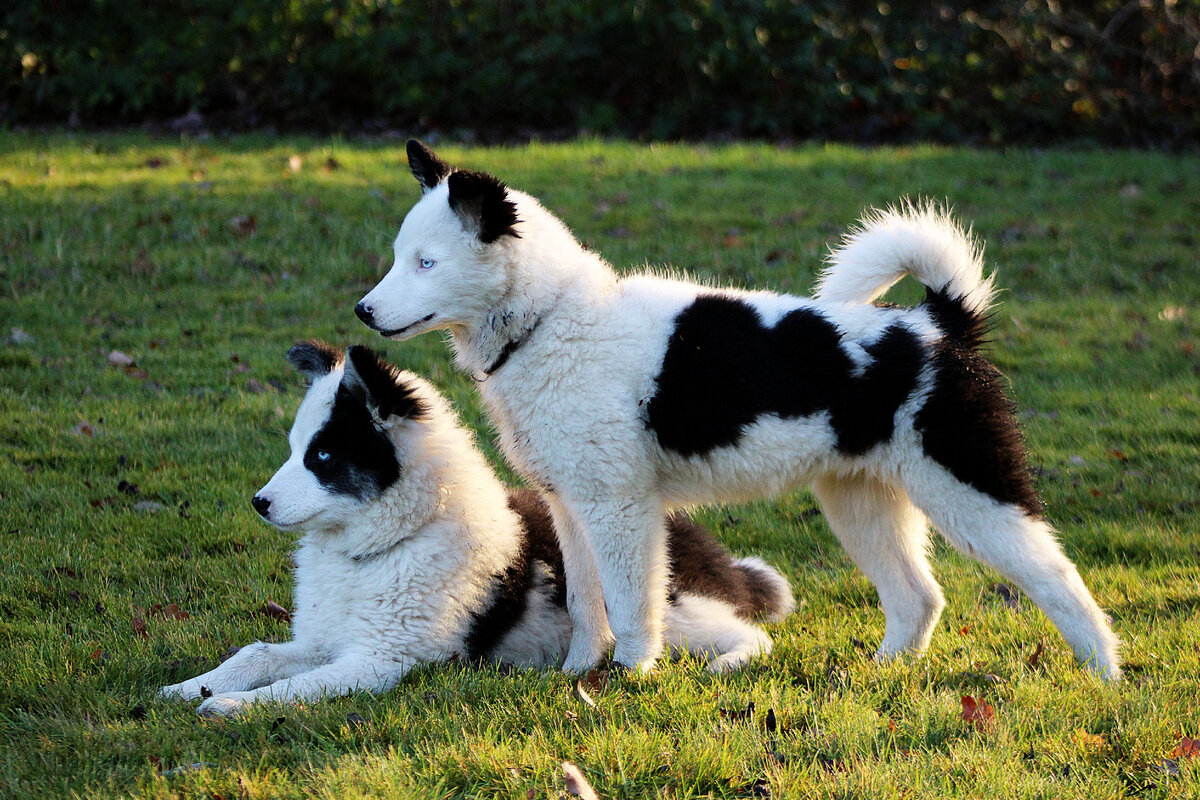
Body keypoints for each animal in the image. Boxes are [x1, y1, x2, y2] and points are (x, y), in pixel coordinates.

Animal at [159, 340, 796, 714]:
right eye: (297, 450)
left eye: (323, 456)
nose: (259, 503)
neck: (396, 541)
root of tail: (706, 549)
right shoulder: (323, 640)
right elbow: (255, 654)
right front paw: (191, 688)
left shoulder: (383, 659)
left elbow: (298, 688)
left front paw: (230, 708)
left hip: (677, 612)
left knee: (749, 633)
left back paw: (728, 662)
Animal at [352, 140, 1123, 681]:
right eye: (401, 256)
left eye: (425, 262)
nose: (362, 311)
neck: (551, 319)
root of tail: (938, 325)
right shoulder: (571, 505)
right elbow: (585, 604)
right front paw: (575, 675)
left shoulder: (620, 507)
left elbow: (631, 602)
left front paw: (628, 677)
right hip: (861, 501)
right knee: (919, 596)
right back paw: (881, 674)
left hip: (968, 488)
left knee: (1056, 577)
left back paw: (1103, 674)